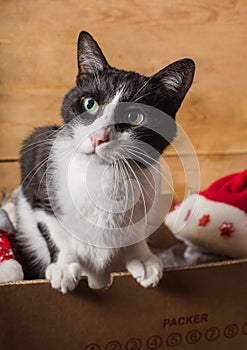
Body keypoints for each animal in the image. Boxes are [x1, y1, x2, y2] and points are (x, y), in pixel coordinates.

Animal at [15, 31, 195, 292]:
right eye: (89, 103)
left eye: (135, 116)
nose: (97, 137)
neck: (104, 174)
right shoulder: (36, 162)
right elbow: (53, 226)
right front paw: (64, 266)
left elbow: (137, 230)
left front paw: (143, 258)